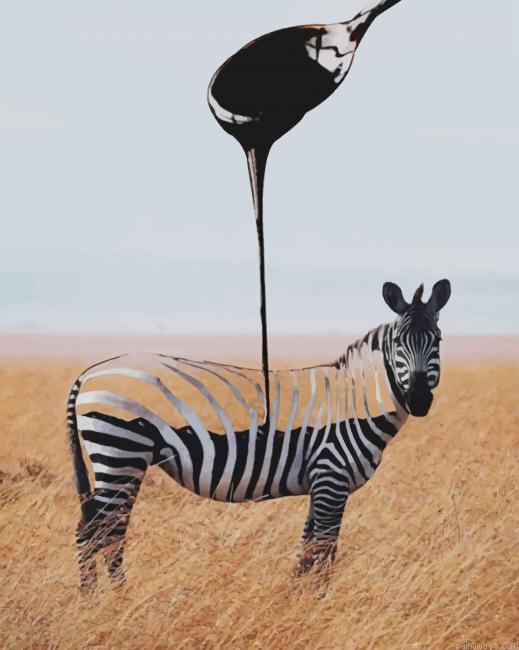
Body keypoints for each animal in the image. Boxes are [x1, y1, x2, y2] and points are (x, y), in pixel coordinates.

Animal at [67, 279, 451, 589]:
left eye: (438, 340)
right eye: (398, 343)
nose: (419, 399)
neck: (355, 403)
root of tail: (88, 374)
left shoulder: (320, 483)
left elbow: (306, 551)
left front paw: (297, 602)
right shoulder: (332, 477)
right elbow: (324, 551)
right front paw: (320, 603)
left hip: (121, 460)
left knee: (99, 530)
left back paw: (99, 598)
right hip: (121, 452)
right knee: (101, 533)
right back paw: (109, 601)